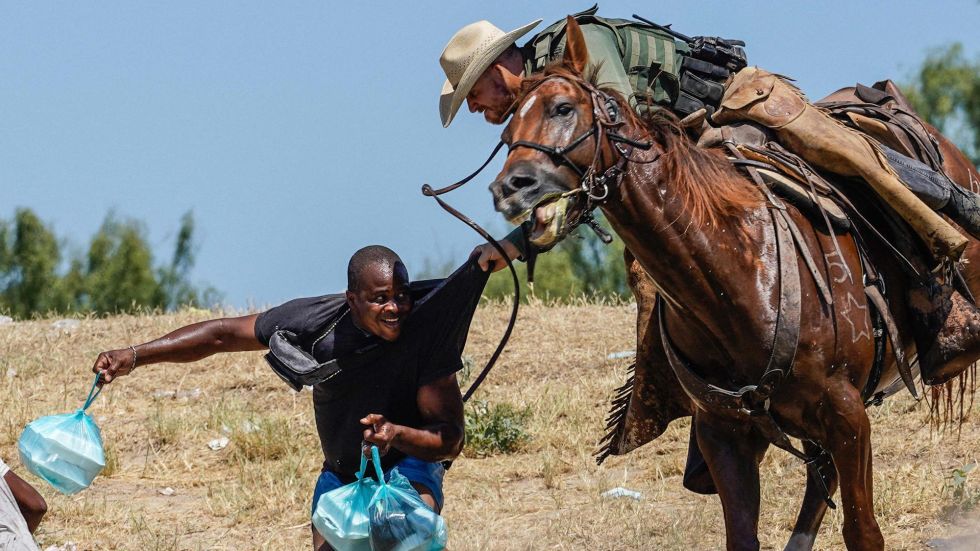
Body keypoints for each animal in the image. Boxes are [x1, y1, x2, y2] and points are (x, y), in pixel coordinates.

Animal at [490, 17, 980, 551]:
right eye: (508, 129)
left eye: (563, 108)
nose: (510, 188)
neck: (735, 277)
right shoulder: (724, 434)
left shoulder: (849, 417)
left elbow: (862, 531)